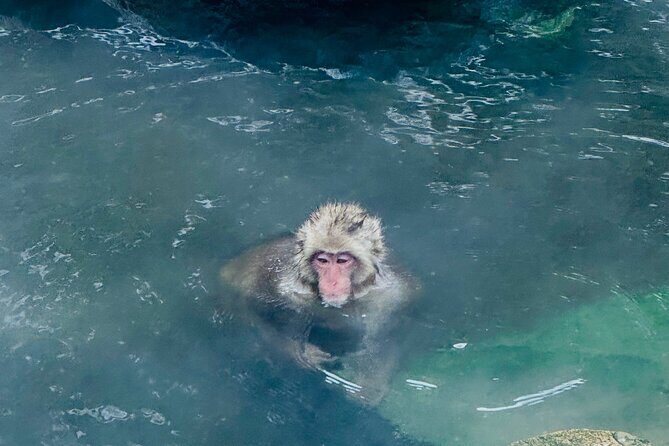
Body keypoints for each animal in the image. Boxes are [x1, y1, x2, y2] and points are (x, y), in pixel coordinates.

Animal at [220, 202, 417, 403]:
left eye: (342, 260)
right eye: (322, 260)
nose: (332, 282)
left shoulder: (391, 296)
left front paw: (369, 385)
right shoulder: (280, 287)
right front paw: (304, 354)